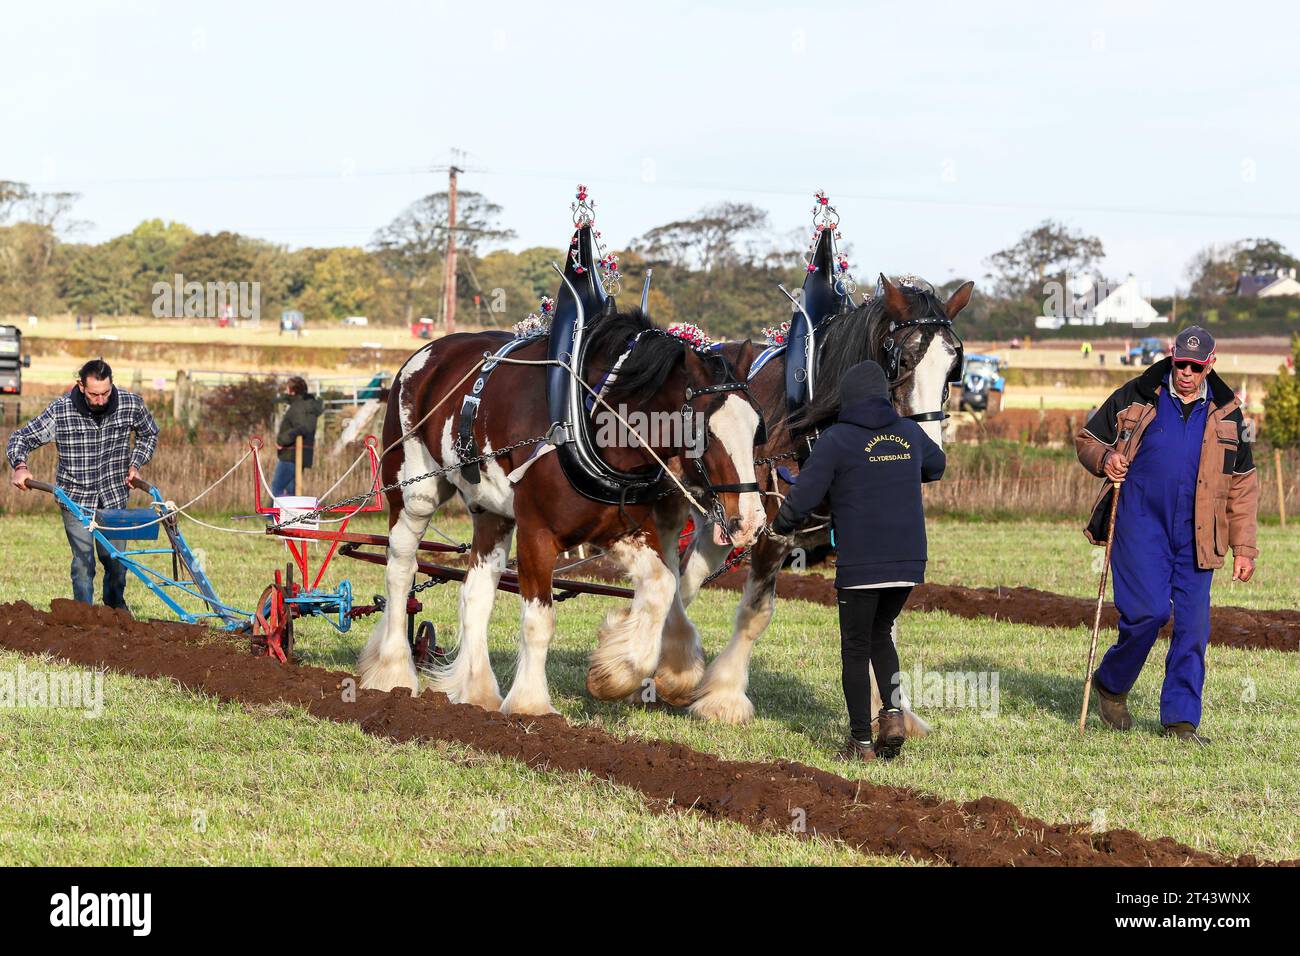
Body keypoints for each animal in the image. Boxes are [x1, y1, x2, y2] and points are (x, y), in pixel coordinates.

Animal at [356, 308, 764, 717]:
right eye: (705, 431)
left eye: (757, 427)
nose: (751, 521)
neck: (589, 422)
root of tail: (431, 351)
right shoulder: (537, 533)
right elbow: (539, 619)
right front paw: (531, 703)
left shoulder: (621, 528)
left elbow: (662, 586)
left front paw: (617, 673)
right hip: (413, 494)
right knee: (400, 571)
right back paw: (393, 672)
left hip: (492, 513)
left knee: (475, 594)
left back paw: (478, 692)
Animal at [665, 273, 972, 728]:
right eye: (902, 361)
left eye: (953, 366)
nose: (928, 458)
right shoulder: (773, 529)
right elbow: (756, 612)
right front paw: (723, 698)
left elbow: (881, 618)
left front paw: (890, 709)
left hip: (723, 517)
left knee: (687, 577)